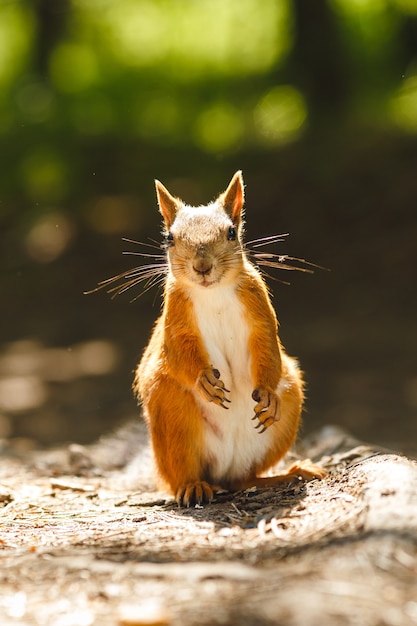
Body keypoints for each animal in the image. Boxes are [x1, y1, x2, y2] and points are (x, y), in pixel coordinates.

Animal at [133, 172, 324, 508]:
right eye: (169, 238)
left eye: (232, 233)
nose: (202, 267)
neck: (214, 293)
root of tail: (221, 471)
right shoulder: (175, 321)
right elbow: (178, 354)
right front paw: (203, 381)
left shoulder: (259, 309)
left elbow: (267, 346)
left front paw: (268, 393)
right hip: (173, 417)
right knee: (187, 477)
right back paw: (193, 486)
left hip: (288, 405)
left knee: (243, 480)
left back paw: (290, 473)